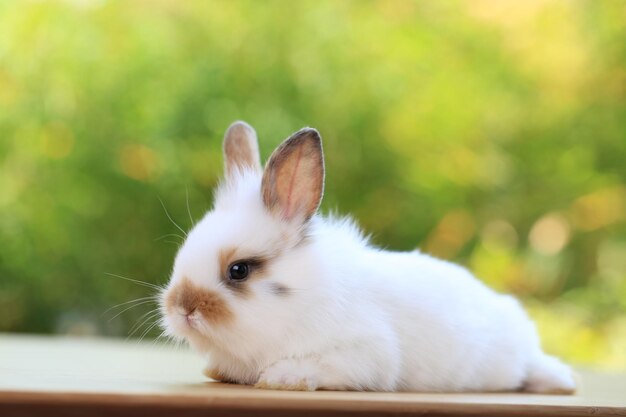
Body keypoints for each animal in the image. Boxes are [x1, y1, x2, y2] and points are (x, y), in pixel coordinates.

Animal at [161, 121, 576, 394]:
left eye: (239, 270)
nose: (182, 308)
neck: (299, 300)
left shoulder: (364, 352)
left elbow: (325, 365)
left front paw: (282, 378)